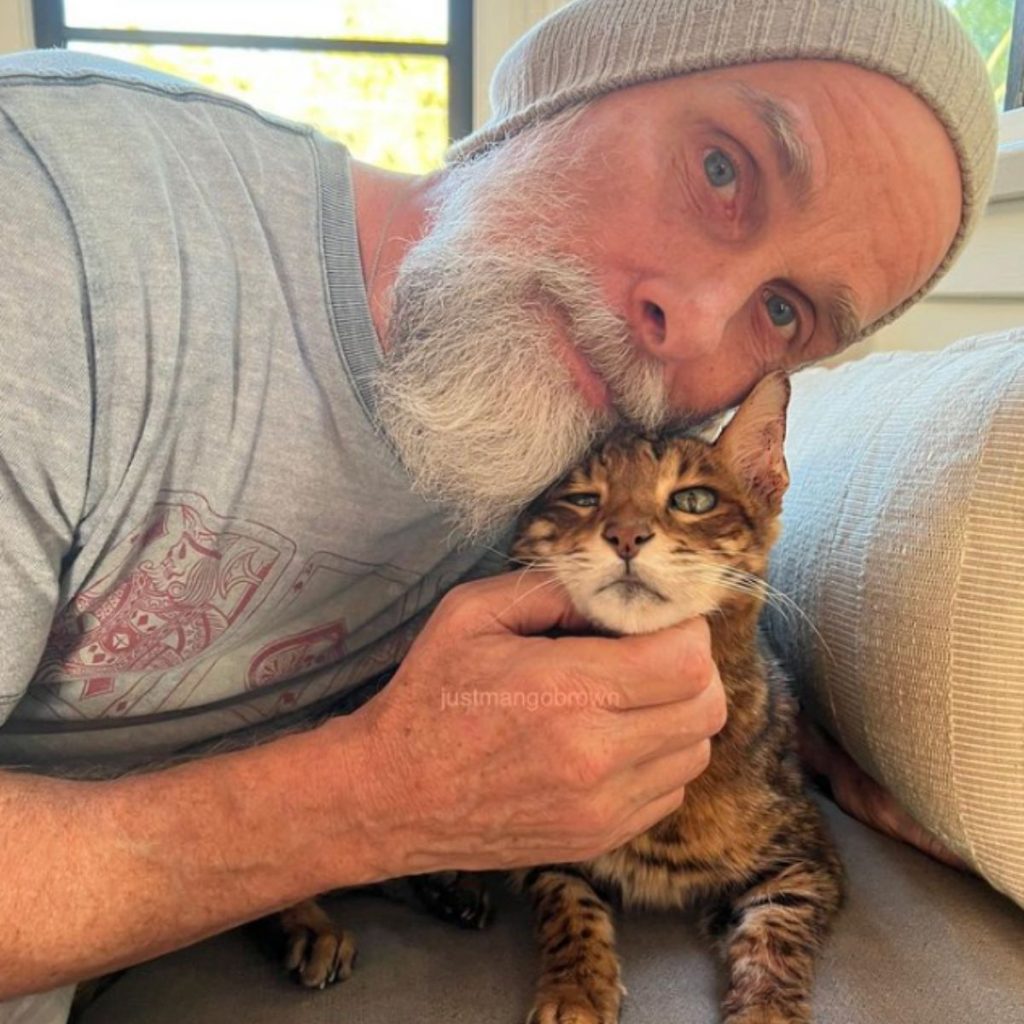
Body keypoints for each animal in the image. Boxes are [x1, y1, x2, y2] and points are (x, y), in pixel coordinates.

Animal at [507, 374, 843, 1024]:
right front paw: (576, 988)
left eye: (693, 500)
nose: (625, 535)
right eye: (582, 499)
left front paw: (765, 1009)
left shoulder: (809, 858)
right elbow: (566, 902)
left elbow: (776, 932)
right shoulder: (544, 842)